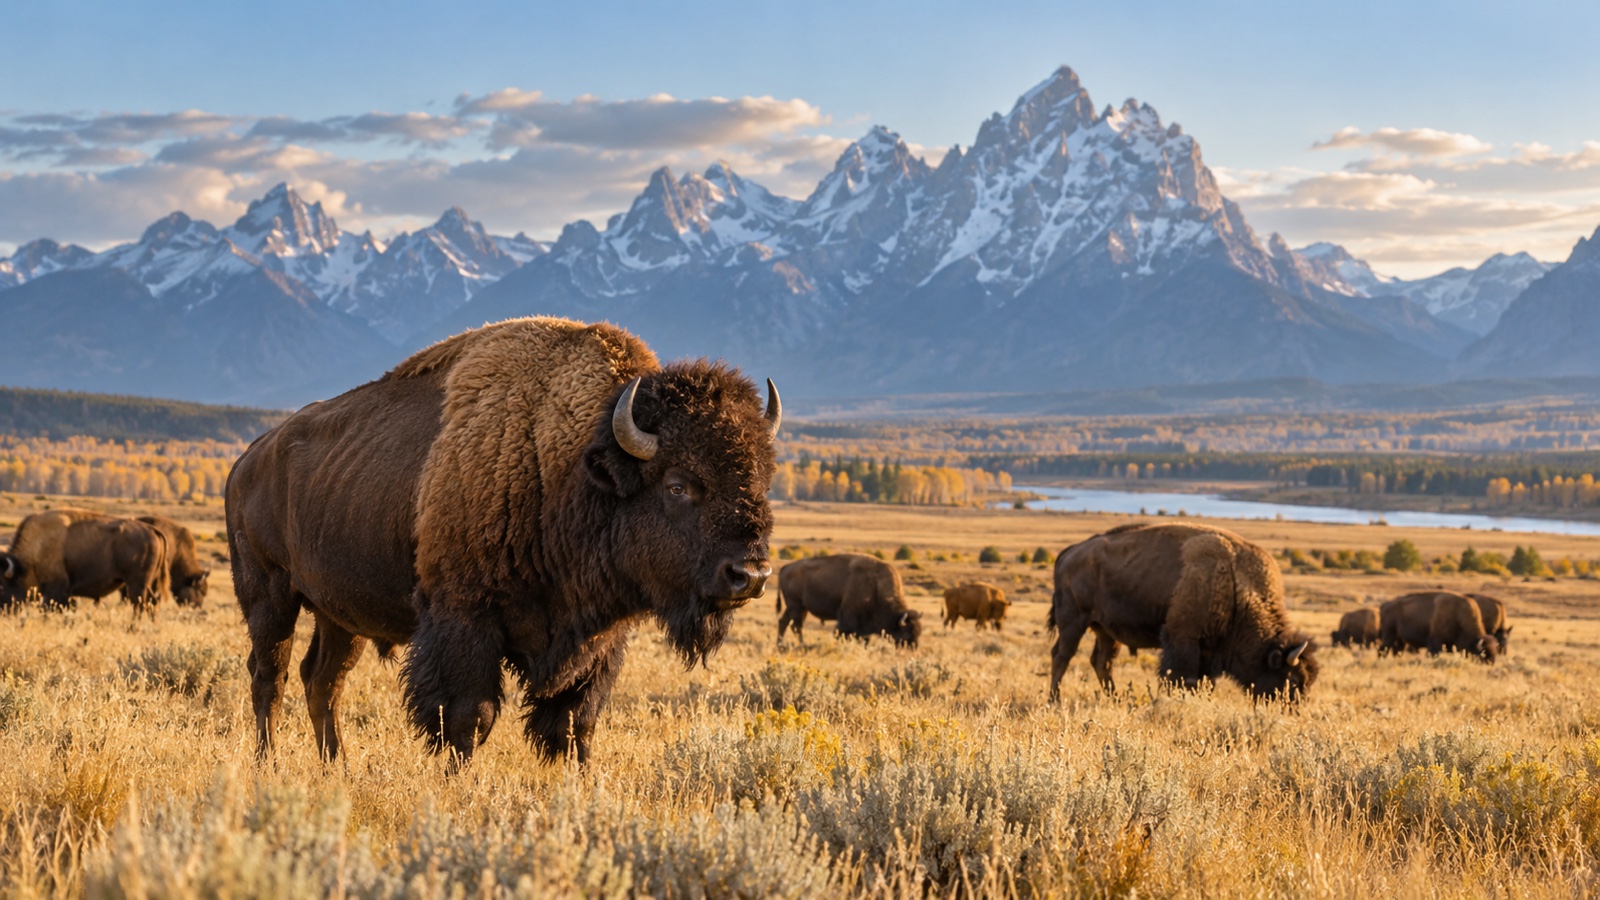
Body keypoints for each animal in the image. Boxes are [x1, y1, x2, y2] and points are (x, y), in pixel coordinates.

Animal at [0, 508, 170, 616]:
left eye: (2, 586)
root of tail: (152, 529)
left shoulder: (56, 590)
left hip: (137, 584)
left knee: (140, 604)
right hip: (145, 584)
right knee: (151, 603)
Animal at [226, 317, 780, 765]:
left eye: (760, 479)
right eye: (678, 485)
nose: (749, 575)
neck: (567, 467)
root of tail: (246, 460)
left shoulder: (597, 643)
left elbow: (576, 723)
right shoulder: (465, 621)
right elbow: (472, 718)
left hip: (340, 614)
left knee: (322, 680)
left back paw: (336, 767)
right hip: (270, 597)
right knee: (270, 677)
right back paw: (268, 764)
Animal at [776, 553, 922, 646]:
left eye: (919, 632)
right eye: (907, 633)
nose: (913, 648)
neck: (876, 587)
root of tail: (785, 568)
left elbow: (864, 639)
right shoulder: (848, 620)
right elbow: (843, 634)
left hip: (798, 607)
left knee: (784, 622)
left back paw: (781, 646)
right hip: (796, 605)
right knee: (796, 626)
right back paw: (803, 645)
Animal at [1048, 523, 1318, 701]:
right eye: (1292, 680)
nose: (1292, 709)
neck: (1234, 583)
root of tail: (1070, 552)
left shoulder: (1210, 650)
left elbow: (1206, 681)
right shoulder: (1184, 640)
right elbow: (1181, 678)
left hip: (1105, 630)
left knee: (1102, 661)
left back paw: (1116, 699)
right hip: (1073, 621)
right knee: (1062, 656)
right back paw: (1055, 700)